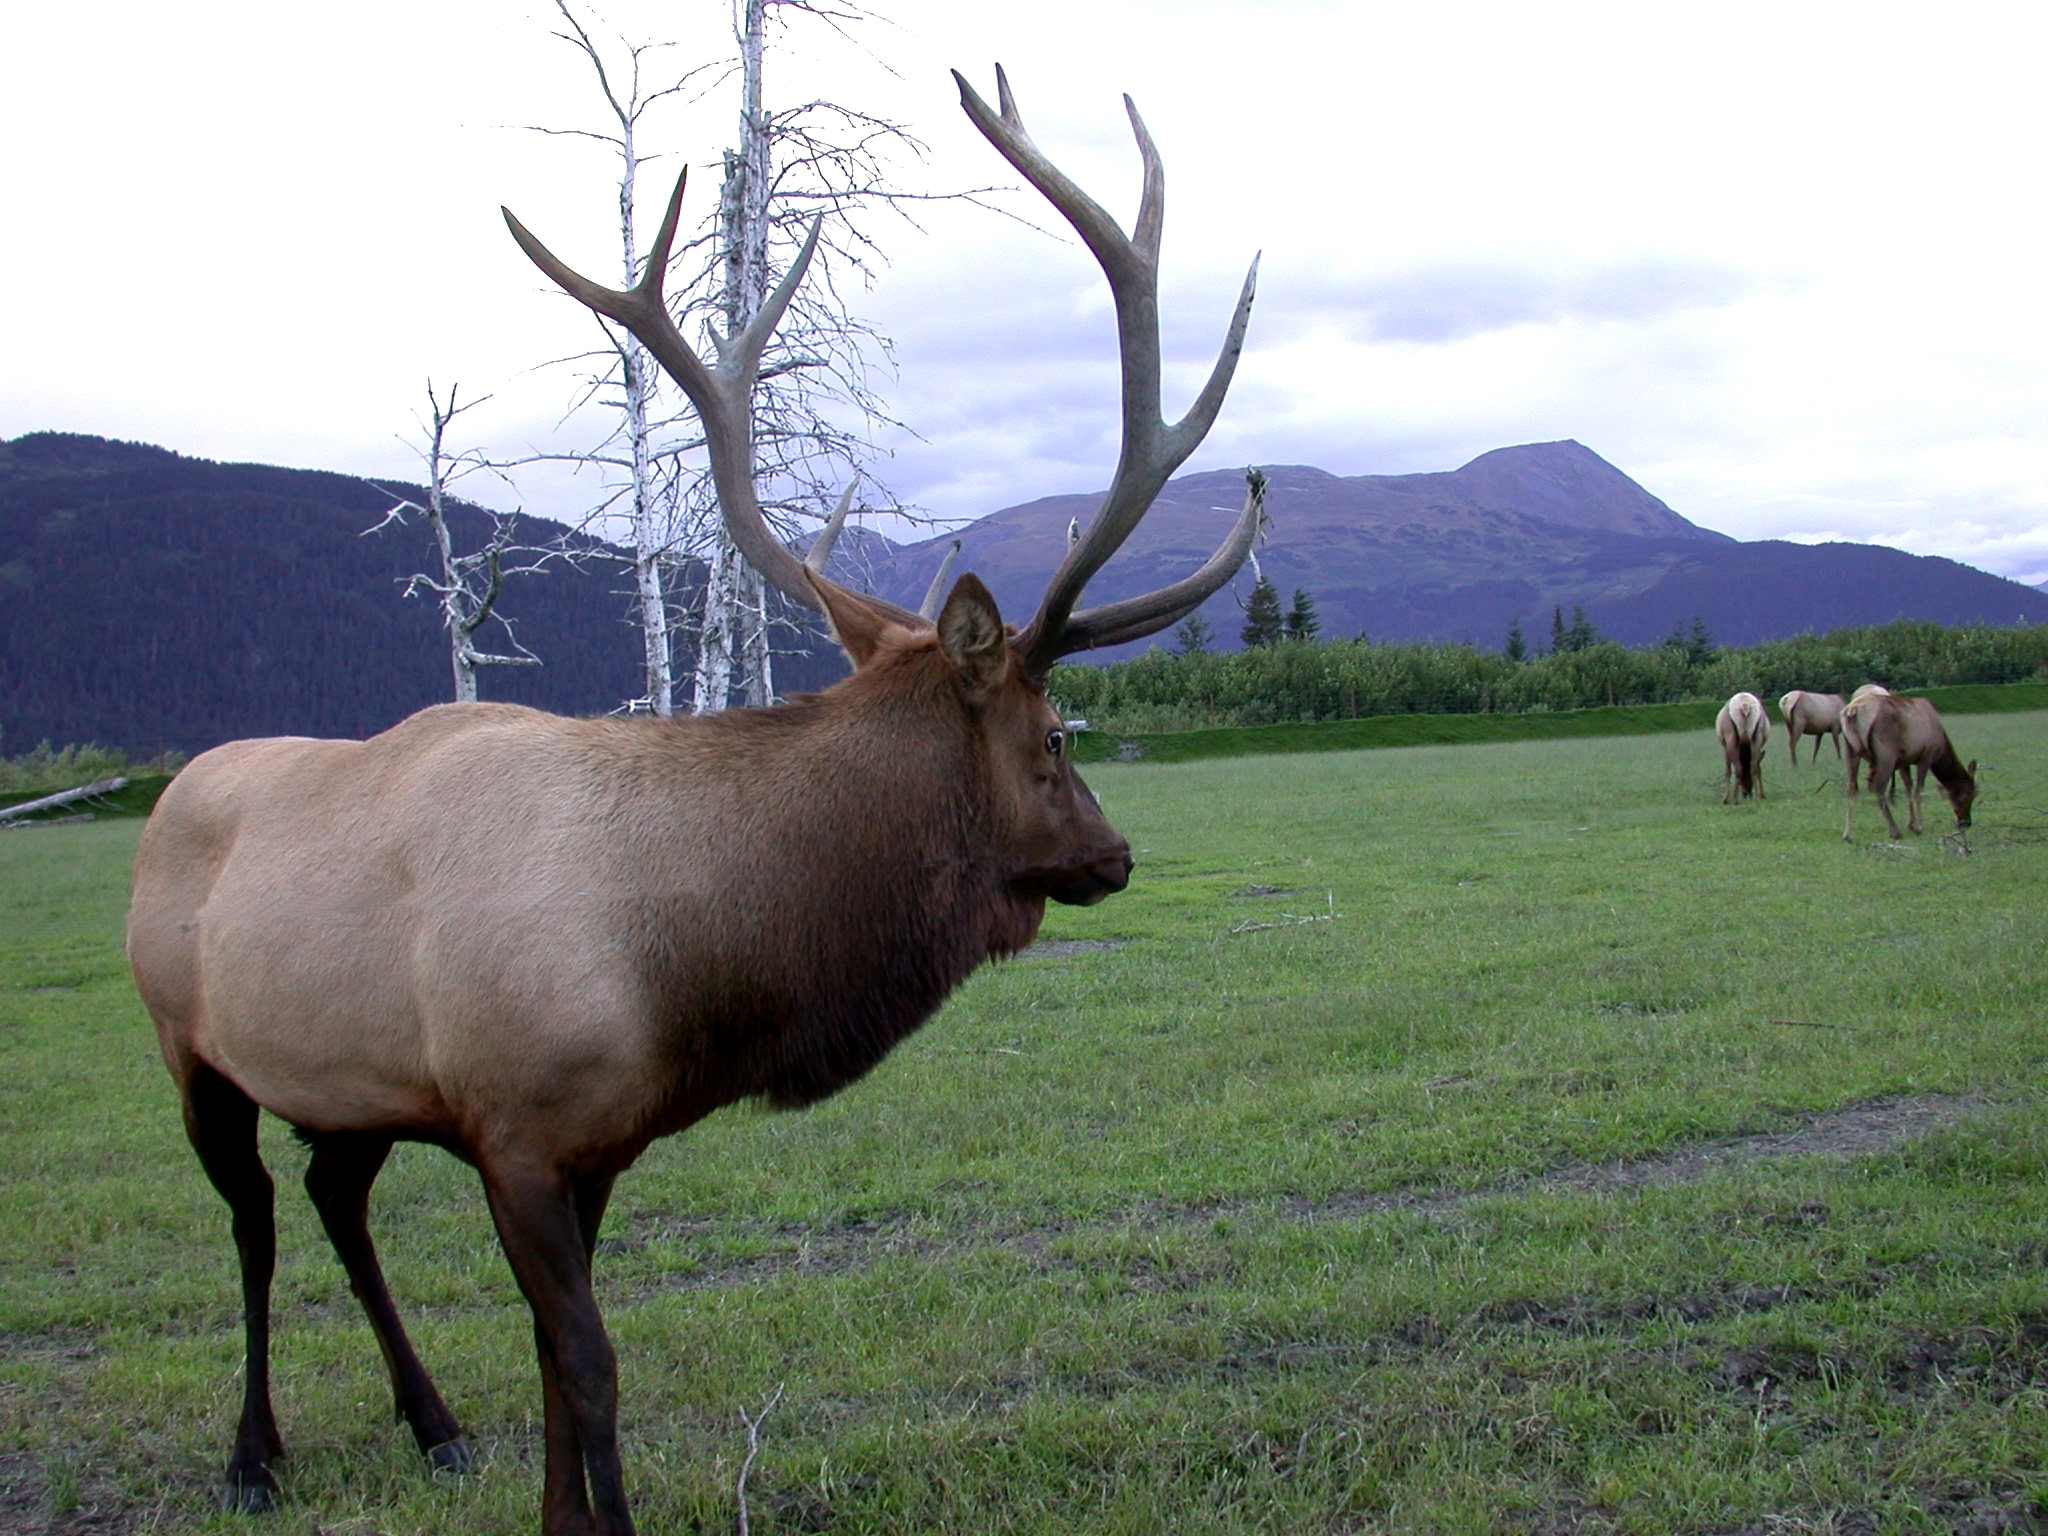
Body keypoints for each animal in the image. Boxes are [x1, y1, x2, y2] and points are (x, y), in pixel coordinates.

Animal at [123, 66, 1261, 1531]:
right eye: (1057, 734)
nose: (1115, 855)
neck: (685, 976)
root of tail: (169, 797)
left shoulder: (585, 1142)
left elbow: (554, 1364)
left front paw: (553, 1506)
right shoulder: (518, 1128)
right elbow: (589, 1363)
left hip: (348, 1088)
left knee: (332, 1197)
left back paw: (432, 1423)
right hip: (189, 1044)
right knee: (255, 1220)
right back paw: (253, 1455)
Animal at [1843, 696, 1966, 843]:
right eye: (1970, 793)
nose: (1966, 822)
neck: (1940, 747)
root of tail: (1853, 711)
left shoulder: (1904, 761)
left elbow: (1908, 788)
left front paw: (1911, 824)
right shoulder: (1926, 756)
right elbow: (1919, 790)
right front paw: (1919, 826)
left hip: (1851, 751)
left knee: (1851, 788)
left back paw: (1847, 834)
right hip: (1886, 755)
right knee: (1878, 788)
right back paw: (1895, 832)